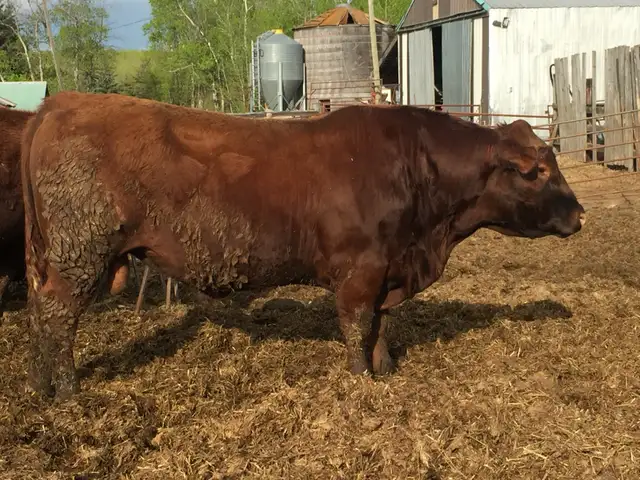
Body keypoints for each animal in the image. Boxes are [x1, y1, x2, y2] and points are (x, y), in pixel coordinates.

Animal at [21, 91, 585, 399]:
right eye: (538, 172)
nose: (580, 214)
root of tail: (60, 102)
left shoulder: (388, 269)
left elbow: (381, 325)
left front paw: (385, 371)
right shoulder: (361, 272)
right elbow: (356, 328)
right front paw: (360, 381)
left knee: (40, 313)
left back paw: (39, 384)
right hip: (79, 258)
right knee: (56, 318)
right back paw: (67, 390)